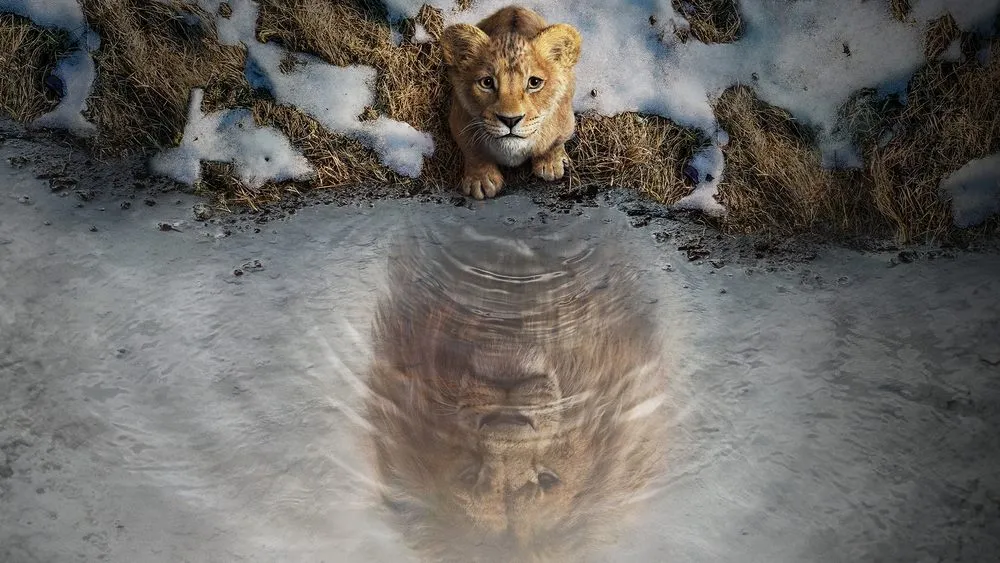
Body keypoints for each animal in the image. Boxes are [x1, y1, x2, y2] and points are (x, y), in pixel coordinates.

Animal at [440, 6, 583, 200]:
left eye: (534, 82)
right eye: (487, 82)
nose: (510, 120)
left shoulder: (566, 120)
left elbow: (554, 143)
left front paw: (551, 164)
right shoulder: (459, 121)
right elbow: (473, 151)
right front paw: (481, 180)